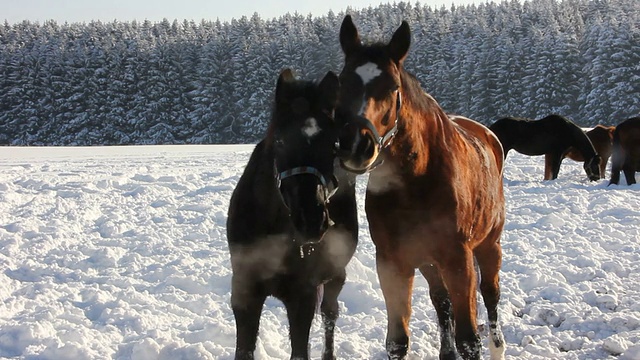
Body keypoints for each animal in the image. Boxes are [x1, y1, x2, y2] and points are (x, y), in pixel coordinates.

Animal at [226, 68, 360, 360]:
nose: (311, 220)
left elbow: (300, 350)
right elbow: (244, 349)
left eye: (333, 144)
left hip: (336, 274)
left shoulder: (302, 296)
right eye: (280, 140)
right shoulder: (245, 290)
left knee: (330, 313)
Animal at [336, 14, 504, 360]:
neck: (416, 183)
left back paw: (499, 347)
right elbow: (398, 340)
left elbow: (469, 340)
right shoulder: (393, 263)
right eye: (343, 82)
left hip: (488, 246)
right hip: (429, 262)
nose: (356, 145)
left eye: (392, 87)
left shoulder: (458, 260)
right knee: (442, 302)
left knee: (491, 294)